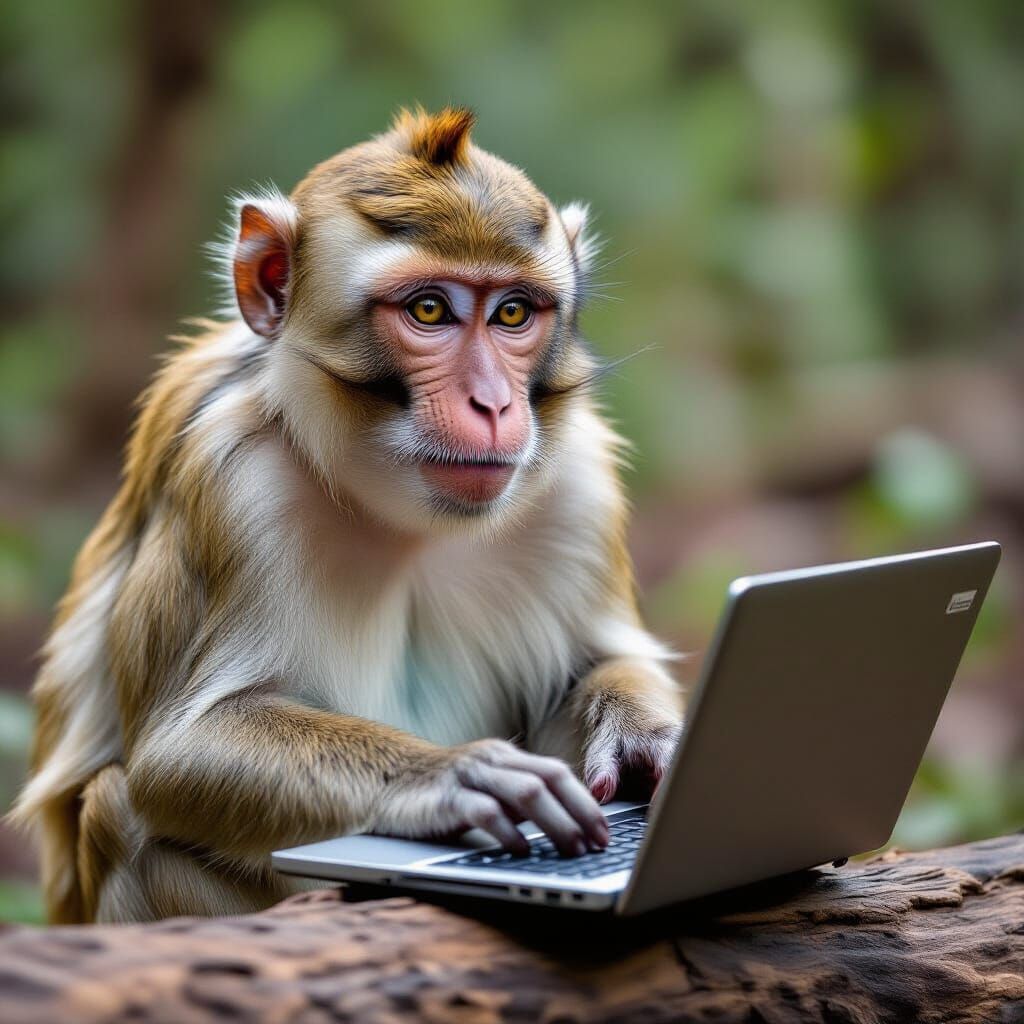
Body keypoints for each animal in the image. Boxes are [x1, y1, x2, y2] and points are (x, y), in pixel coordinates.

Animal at [9, 107, 683, 924]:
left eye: (513, 312)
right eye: (429, 309)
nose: (493, 405)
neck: (402, 515)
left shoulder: (579, 488)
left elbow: (596, 665)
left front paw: (650, 740)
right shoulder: (233, 482)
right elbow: (181, 752)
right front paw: (452, 777)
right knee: (120, 811)